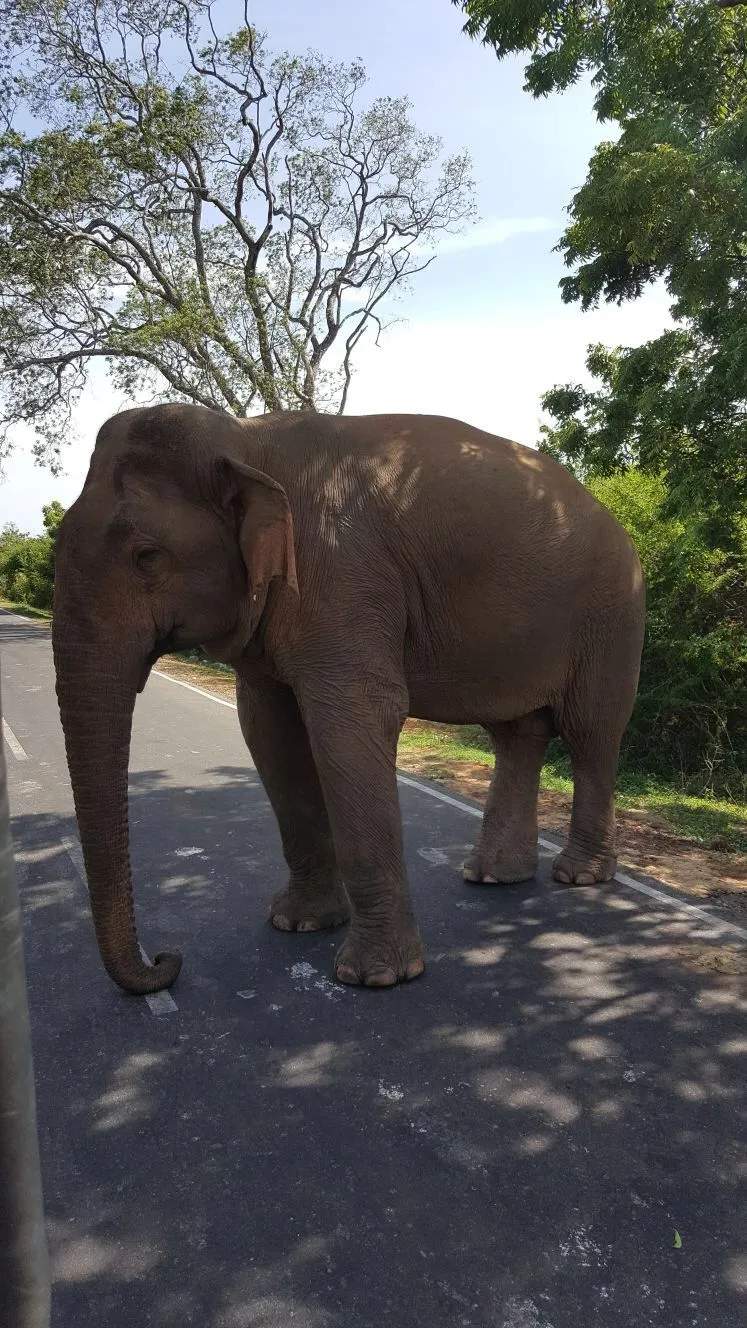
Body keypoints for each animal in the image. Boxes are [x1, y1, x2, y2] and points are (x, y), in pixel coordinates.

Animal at [52, 403, 645, 995]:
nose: (166, 959)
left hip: (612, 618)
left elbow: (350, 722)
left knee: (591, 733)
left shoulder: (343, 576)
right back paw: (493, 875)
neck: (246, 438)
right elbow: (270, 730)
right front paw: (298, 923)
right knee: (517, 735)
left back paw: (578, 875)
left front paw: (376, 977)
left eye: (147, 556)